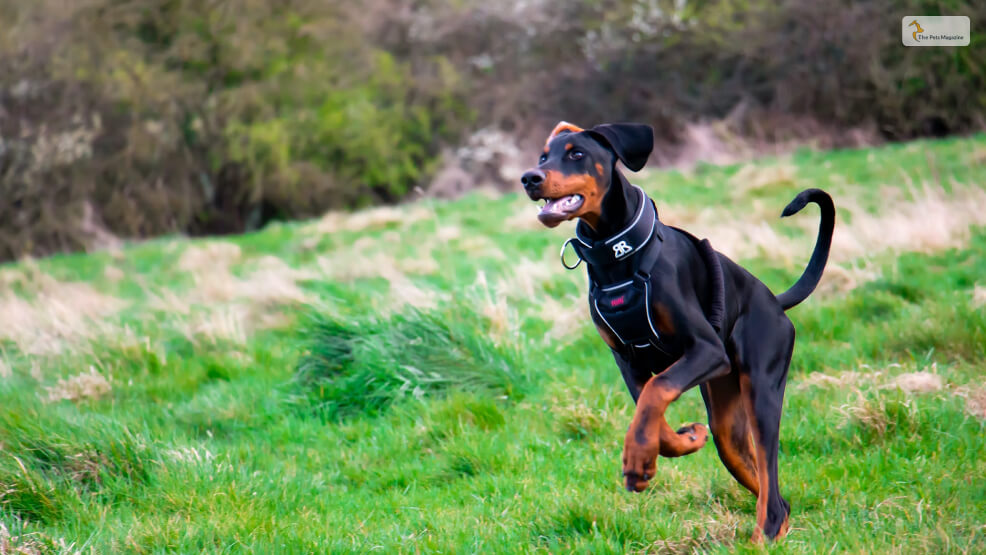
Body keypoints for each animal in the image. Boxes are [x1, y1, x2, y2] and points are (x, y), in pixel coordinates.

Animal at [520, 121, 836, 544]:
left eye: (576, 154)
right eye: (543, 157)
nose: (529, 178)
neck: (618, 256)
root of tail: (774, 300)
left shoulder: (706, 349)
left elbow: (658, 390)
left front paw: (637, 460)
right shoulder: (628, 362)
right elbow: (649, 410)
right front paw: (682, 441)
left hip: (762, 387)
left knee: (770, 475)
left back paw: (763, 537)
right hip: (727, 424)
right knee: (771, 489)